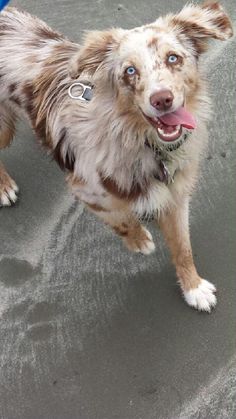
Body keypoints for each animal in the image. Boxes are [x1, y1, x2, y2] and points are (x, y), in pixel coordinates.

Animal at [0, 2, 232, 312]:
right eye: (130, 71)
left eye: (173, 58)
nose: (162, 99)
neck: (142, 141)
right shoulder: (86, 190)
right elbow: (122, 220)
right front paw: (139, 240)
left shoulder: (177, 196)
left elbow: (183, 248)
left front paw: (193, 287)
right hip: (3, 128)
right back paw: (4, 187)